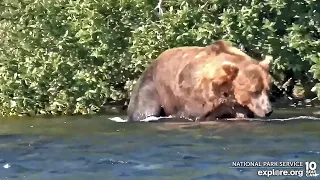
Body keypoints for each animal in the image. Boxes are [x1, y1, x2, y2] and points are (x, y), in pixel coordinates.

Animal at [127, 40, 272, 121]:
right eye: (255, 91)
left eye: (267, 89)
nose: (268, 111)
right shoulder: (194, 96)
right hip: (152, 87)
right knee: (145, 110)